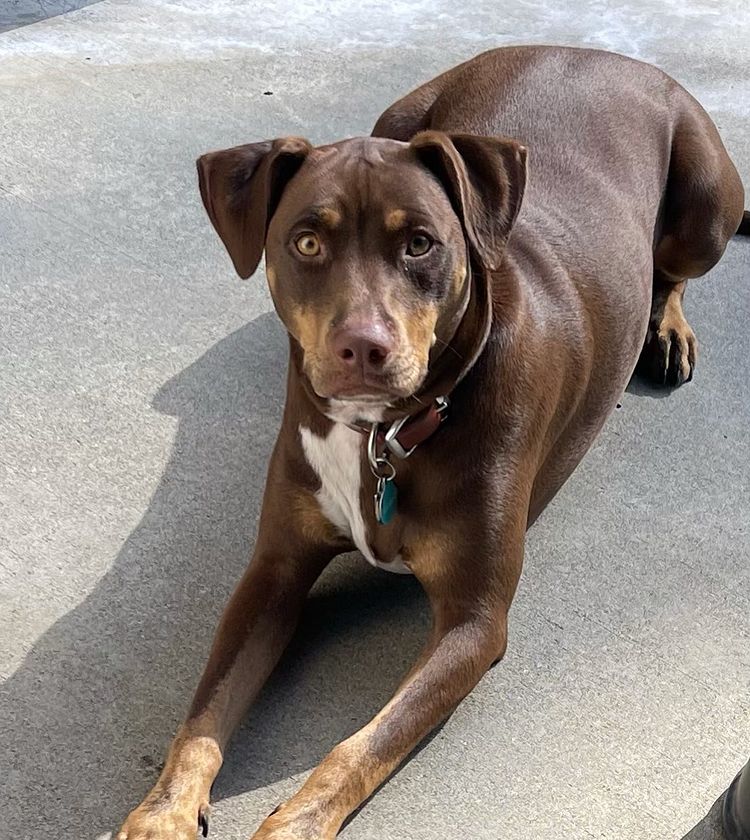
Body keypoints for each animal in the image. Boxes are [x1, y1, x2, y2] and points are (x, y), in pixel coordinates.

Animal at [116, 47, 748, 840]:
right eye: (306, 241)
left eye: (420, 243)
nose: (363, 347)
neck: (384, 434)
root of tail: (598, 52)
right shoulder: (273, 570)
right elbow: (201, 715)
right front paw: (161, 813)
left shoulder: (473, 623)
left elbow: (360, 747)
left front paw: (291, 826)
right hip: (401, 113)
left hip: (705, 207)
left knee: (675, 269)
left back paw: (666, 328)